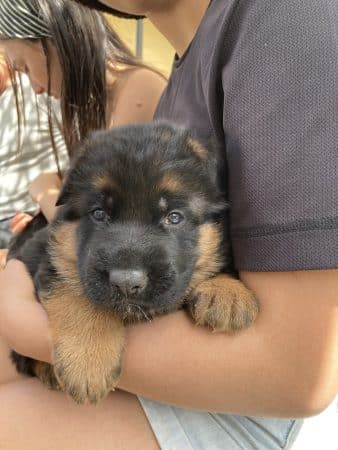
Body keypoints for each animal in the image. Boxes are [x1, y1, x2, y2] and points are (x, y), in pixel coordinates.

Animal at [7, 122, 258, 404]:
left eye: (174, 217)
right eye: (98, 213)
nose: (126, 283)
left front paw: (228, 292)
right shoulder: (50, 256)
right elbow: (76, 293)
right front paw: (87, 362)